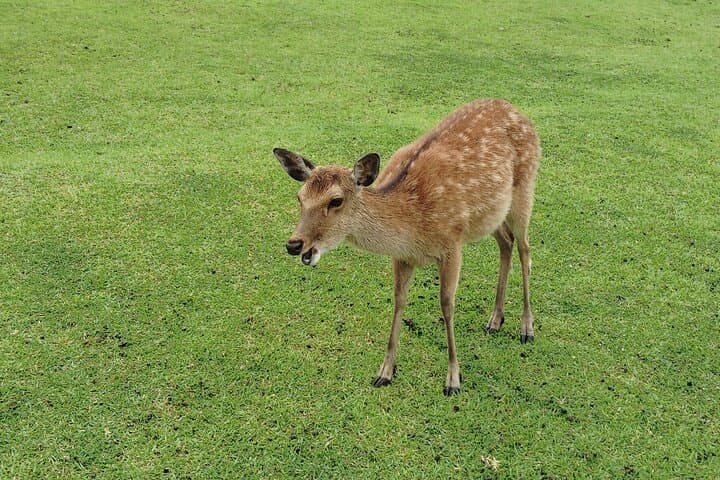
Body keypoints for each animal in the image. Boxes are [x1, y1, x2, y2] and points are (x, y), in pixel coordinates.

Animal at [273, 99, 540, 395]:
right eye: (300, 197)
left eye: (336, 200)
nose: (294, 244)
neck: (412, 225)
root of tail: (516, 110)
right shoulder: (402, 256)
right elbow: (399, 300)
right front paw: (385, 372)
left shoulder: (452, 243)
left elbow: (446, 304)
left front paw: (453, 379)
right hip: (493, 214)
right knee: (506, 243)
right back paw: (495, 320)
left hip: (525, 187)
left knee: (525, 249)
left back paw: (526, 328)